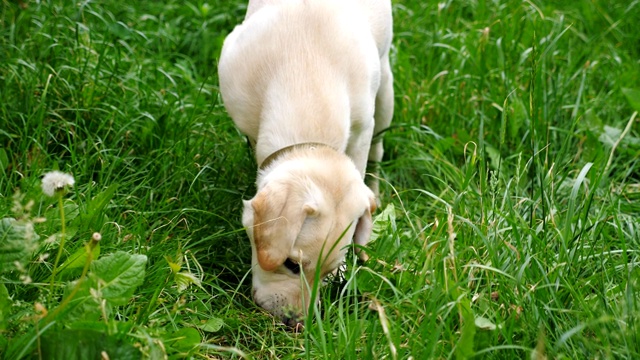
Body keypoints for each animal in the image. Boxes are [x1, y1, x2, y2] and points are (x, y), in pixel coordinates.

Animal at [218, 0, 392, 328]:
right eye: (291, 264)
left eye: (328, 272)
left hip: (385, 94)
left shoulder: (363, 129)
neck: (305, 71)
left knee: (379, 148)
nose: (298, 323)